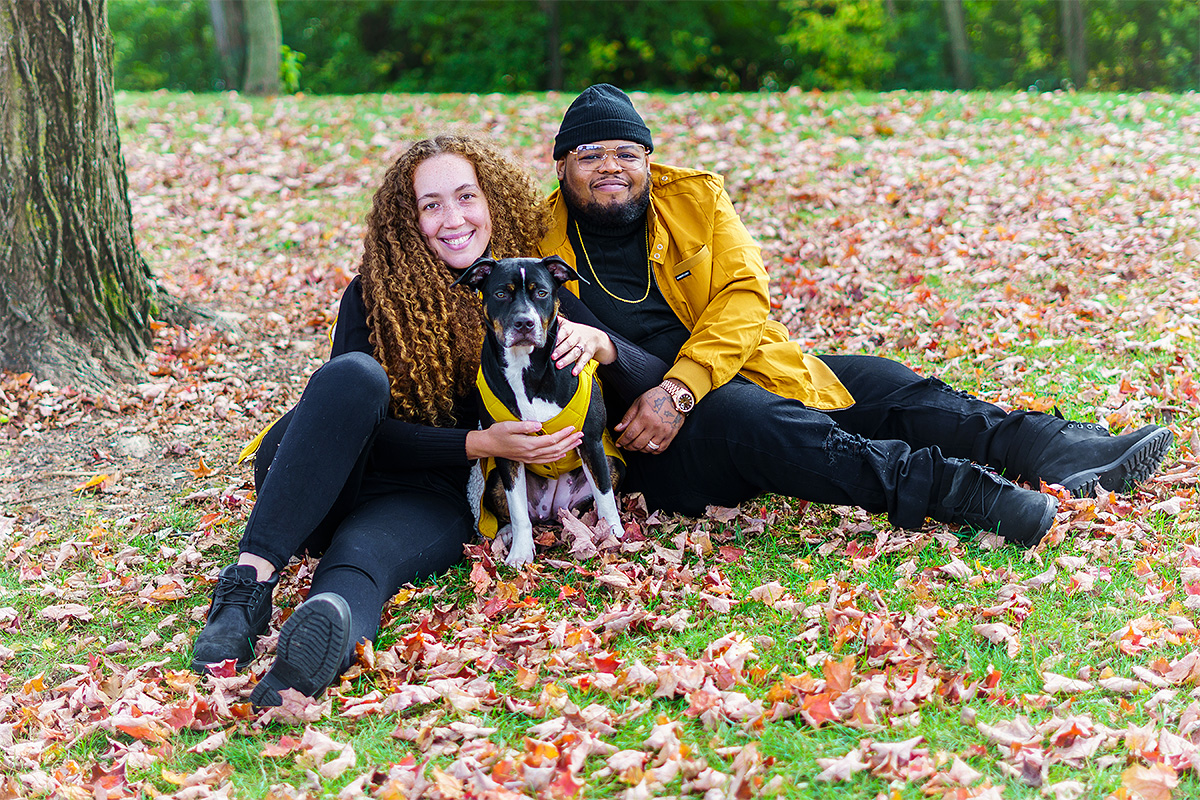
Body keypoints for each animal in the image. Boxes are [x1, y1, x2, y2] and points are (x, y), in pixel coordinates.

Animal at [451, 253, 628, 566]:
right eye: (501, 294)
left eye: (542, 293)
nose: (525, 323)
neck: (526, 369)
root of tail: (553, 508)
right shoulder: (507, 451)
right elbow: (518, 510)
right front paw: (521, 551)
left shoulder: (591, 441)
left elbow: (605, 495)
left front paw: (613, 535)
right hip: (494, 479)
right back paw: (507, 534)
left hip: (611, 462)